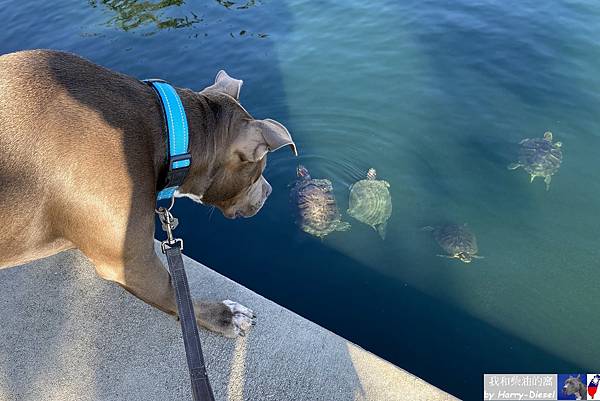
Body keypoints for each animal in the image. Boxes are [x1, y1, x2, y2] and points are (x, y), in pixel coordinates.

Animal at [0, 50, 298, 338]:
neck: (171, 136)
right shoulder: (132, 264)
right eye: (259, 170)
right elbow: (176, 294)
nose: (269, 191)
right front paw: (226, 316)